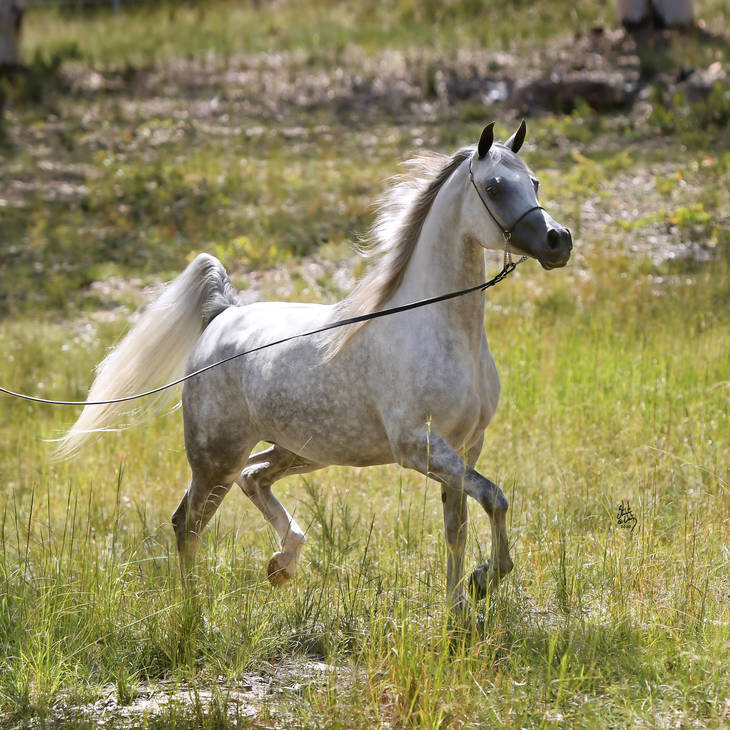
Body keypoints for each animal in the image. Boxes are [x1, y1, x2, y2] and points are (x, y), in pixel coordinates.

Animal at [57, 121, 572, 611]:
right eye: (496, 187)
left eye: (534, 182)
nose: (558, 241)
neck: (438, 330)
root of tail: (222, 315)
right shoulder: (419, 447)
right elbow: (495, 499)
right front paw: (485, 580)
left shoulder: (465, 448)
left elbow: (458, 526)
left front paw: (460, 608)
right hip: (216, 458)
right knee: (189, 523)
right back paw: (193, 615)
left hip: (300, 450)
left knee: (253, 478)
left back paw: (282, 563)